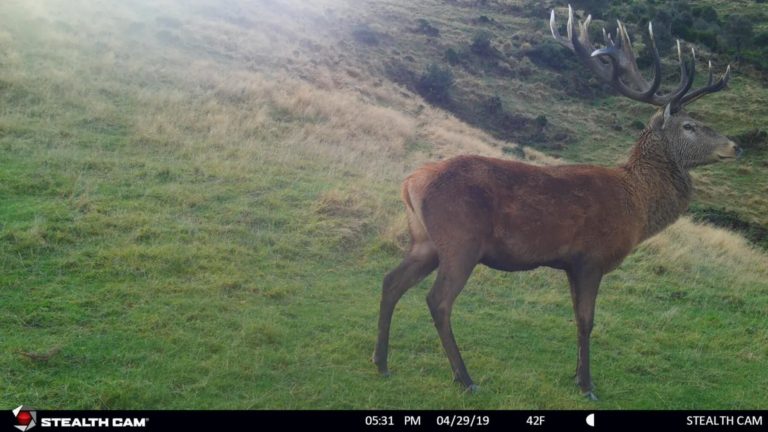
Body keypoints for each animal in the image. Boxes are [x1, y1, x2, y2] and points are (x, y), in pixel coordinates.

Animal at [372, 6, 741, 401]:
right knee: (438, 300)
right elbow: (586, 320)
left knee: (391, 281)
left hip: (424, 241)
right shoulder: (591, 258)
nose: (735, 146)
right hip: (461, 241)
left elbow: (576, 317)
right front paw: (588, 385)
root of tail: (410, 182)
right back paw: (465, 378)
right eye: (690, 126)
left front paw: (575, 375)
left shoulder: (569, 264)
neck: (637, 207)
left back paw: (381, 362)